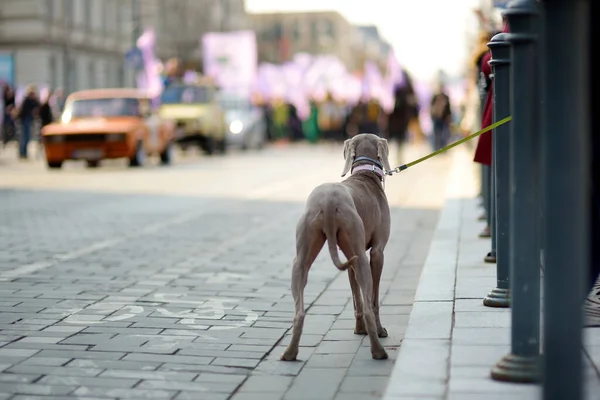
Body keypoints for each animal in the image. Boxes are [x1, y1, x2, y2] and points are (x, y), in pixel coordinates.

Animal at [282, 133, 394, 360]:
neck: (366, 174)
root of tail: (328, 201)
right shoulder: (377, 253)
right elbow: (373, 300)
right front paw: (379, 330)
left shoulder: (349, 259)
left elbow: (356, 297)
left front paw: (359, 329)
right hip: (361, 256)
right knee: (369, 306)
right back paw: (378, 351)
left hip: (304, 257)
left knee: (299, 311)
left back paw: (290, 353)